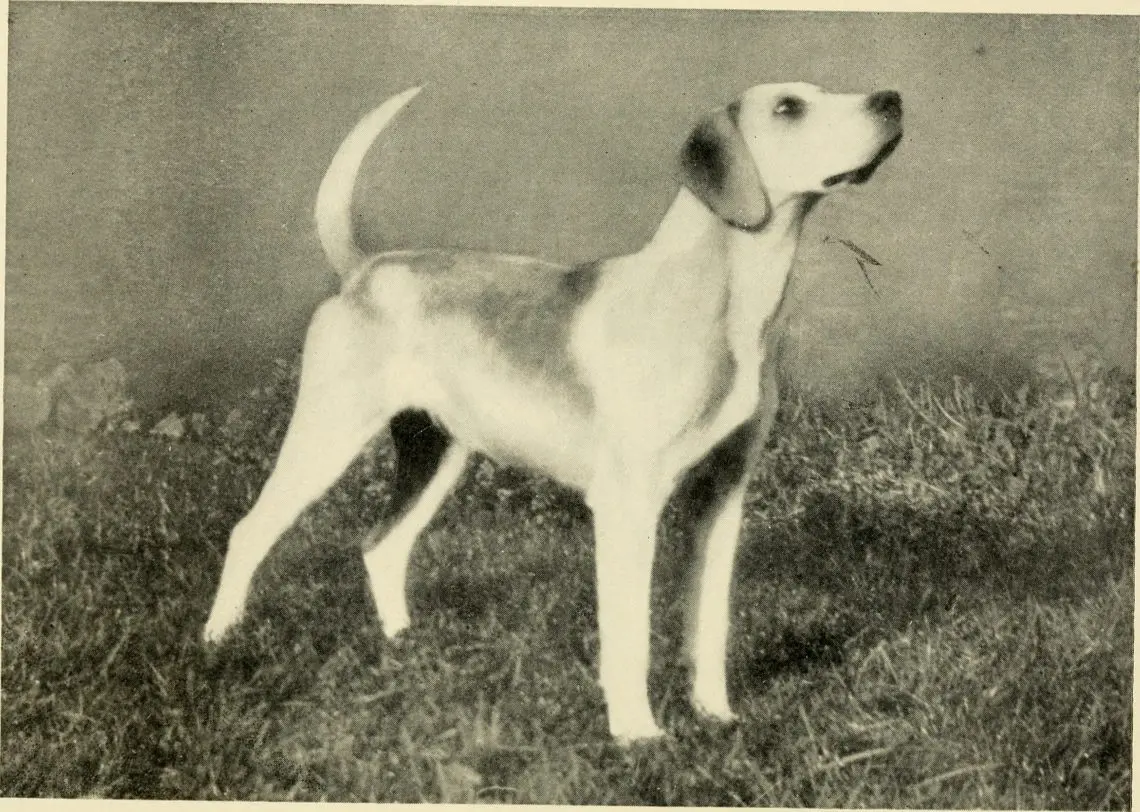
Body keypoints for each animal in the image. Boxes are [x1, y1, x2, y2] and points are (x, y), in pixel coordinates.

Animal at [202, 82, 898, 743]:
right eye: (789, 107)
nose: (891, 100)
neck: (723, 303)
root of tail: (364, 270)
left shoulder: (720, 499)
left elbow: (709, 623)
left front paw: (715, 715)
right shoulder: (627, 507)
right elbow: (630, 633)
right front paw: (636, 733)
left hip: (436, 457)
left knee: (382, 547)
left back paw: (404, 648)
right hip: (326, 439)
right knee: (249, 533)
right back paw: (218, 640)